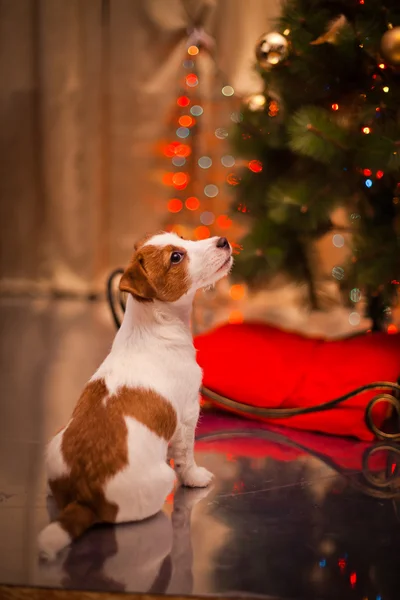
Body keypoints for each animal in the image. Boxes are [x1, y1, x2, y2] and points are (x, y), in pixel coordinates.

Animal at [39, 232, 233, 560]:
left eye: (182, 237)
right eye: (176, 257)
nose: (223, 240)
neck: (153, 326)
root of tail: (84, 496)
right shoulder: (187, 415)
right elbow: (185, 457)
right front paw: (195, 478)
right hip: (161, 481)